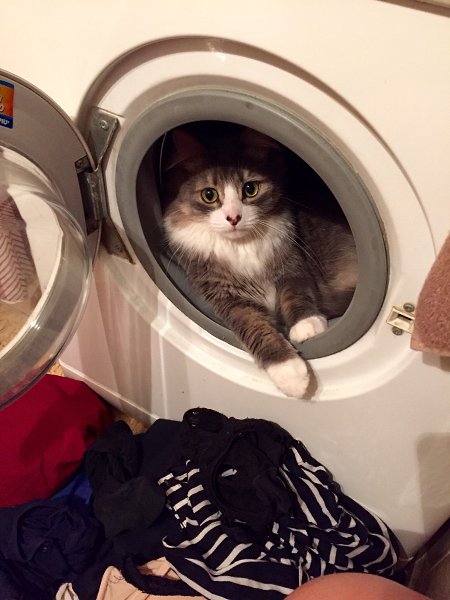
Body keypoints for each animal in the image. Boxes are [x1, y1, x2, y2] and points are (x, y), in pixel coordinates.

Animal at [161, 125, 357, 399]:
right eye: (209, 195)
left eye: (250, 189)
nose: (234, 217)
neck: (241, 246)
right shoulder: (228, 298)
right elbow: (256, 329)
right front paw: (291, 375)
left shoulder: (292, 265)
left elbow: (297, 295)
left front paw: (307, 326)